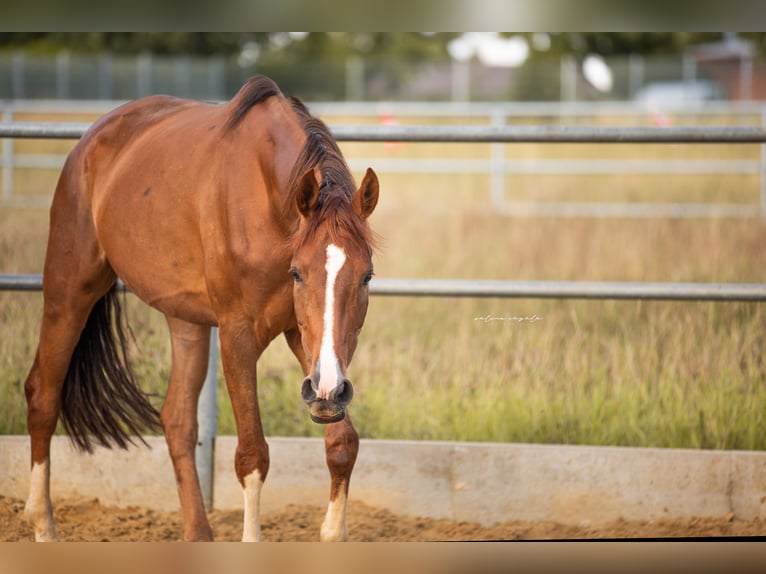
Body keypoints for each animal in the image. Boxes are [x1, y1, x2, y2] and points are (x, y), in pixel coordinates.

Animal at [22, 75, 379, 542]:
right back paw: (43, 525)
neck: (268, 200)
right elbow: (252, 456)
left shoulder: (307, 341)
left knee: (177, 420)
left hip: (186, 321)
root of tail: (91, 141)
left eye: (366, 276)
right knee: (42, 396)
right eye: (298, 273)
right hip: (69, 291)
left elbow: (342, 445)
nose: (330, 390)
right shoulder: (237, 334)